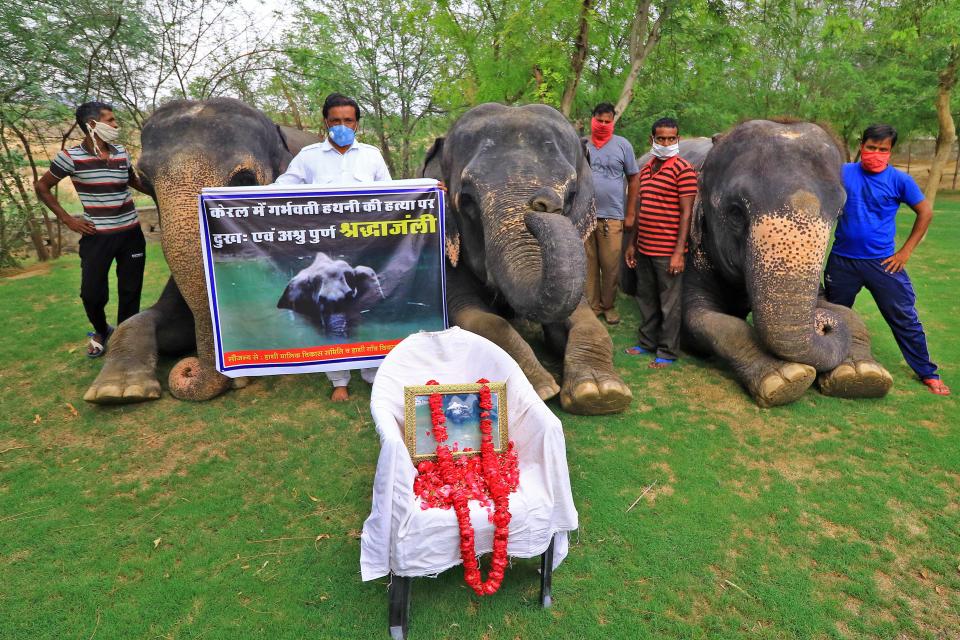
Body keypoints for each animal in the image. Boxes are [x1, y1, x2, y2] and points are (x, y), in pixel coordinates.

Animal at [424, 104, 632, 416]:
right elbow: (476, 318)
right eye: (468, 198)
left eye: (571, 194)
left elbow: (585, 318)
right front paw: (539, 387)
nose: (543, 202)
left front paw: (600, 393)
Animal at [684, 118, 892, 408]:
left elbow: (845, 311)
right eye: (735, 212)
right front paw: (785, 380)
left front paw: (862, 377)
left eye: (840, 213)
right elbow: (699, 319)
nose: (822, 324)